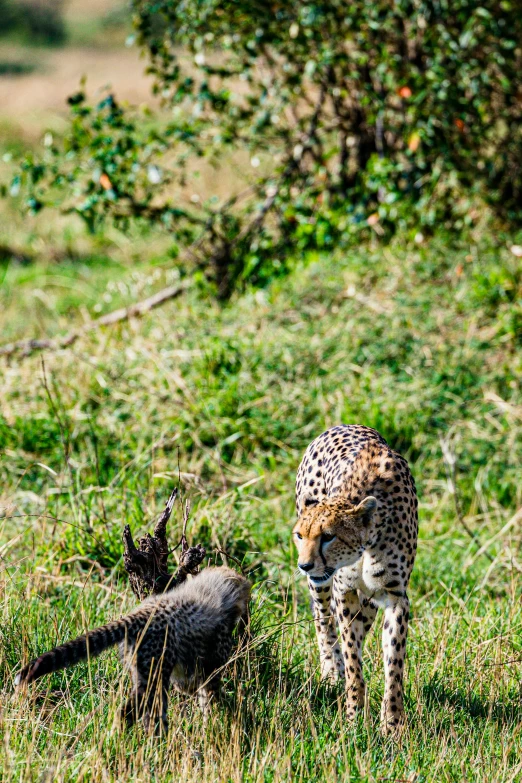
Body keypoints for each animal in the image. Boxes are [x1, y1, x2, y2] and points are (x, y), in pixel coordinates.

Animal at [15, 568, 250, 732]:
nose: (246, 612)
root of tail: (138, 615)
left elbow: (195, 688)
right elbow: (210, 691)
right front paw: (224, 718)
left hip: (143, 672)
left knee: (130, 712)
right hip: (155, 676)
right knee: (146, 714)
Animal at [294, 426, 416, 732]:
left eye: (328, 536)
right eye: (299, 535)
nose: (304, 565)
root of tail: (340, 426)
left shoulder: (395, 596)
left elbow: (394, 662)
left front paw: (392, 722)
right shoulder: (344, 591)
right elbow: (352, 659)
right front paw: (354, 715)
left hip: (369, 599)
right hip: (323, 586)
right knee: (323, 619)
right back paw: (331, 672)